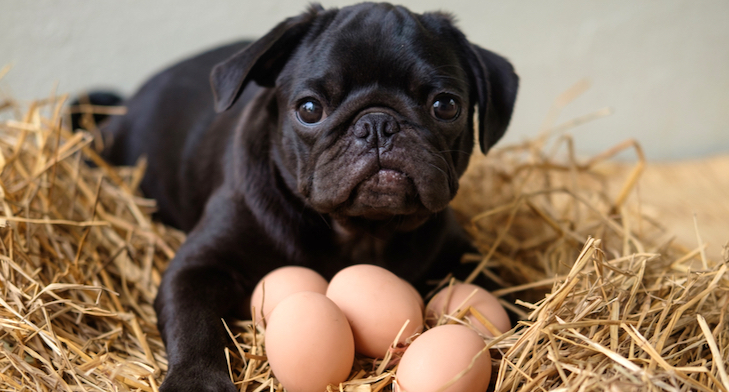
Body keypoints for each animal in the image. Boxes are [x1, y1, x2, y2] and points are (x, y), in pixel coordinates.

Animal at [86, 1, 516, 390]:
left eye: (446, 105)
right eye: (309, 109)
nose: (378, 123)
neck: (362, 234)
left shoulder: (465, 256)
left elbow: (507, 290)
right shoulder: (197, 268)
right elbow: (195, 327)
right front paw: (197, 382)